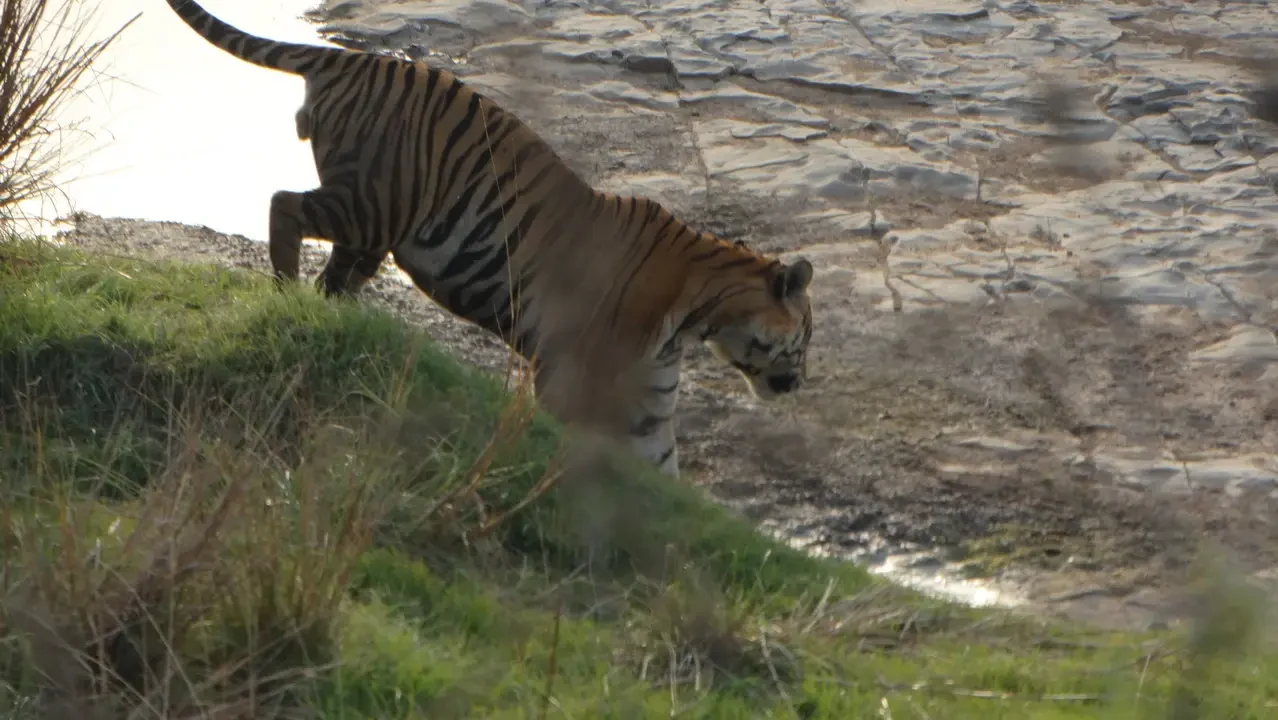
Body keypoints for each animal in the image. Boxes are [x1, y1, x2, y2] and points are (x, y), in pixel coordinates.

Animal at [163, 0, 815, 478]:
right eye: (806, 337)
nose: (799, 383)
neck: (701, 312)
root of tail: (347, 58)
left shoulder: (651, 400)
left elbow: (662, 471)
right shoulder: (571, 370)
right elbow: (570, 438)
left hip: (372, 229)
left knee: (334, 274)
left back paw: (334, 321)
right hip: (373, 203)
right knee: (284, 206)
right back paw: (283, 295)